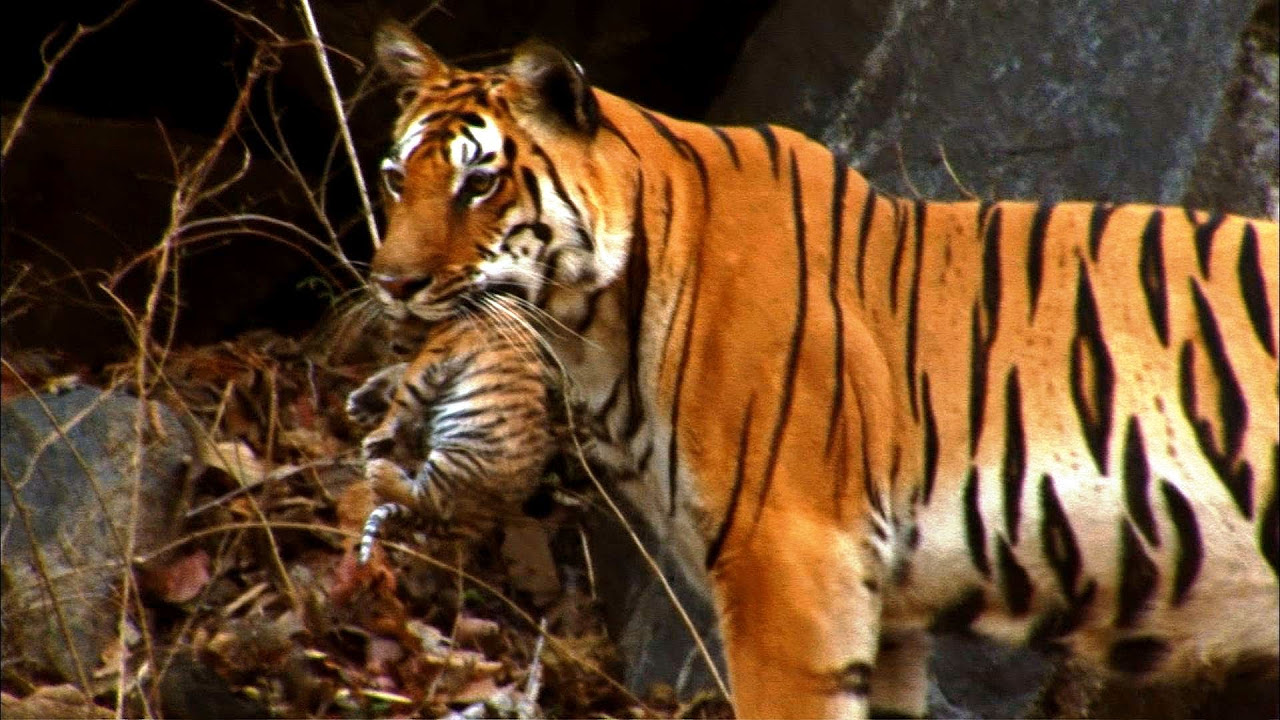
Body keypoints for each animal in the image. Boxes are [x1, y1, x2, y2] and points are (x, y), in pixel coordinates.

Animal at [366, 22, 1274, 717]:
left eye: (478, 183)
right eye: (395, 177)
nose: (390, 283)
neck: (593, 329)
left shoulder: (789, 555)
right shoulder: (889, 608)